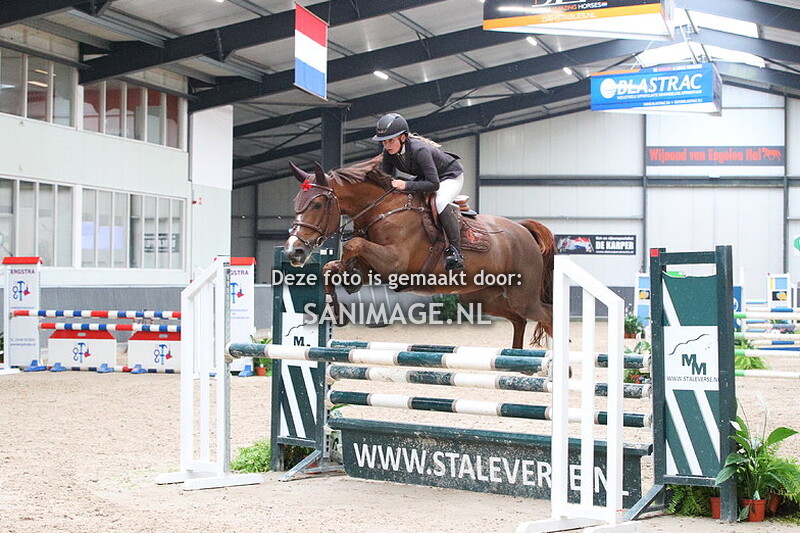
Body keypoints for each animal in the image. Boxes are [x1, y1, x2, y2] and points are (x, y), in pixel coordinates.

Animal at [285, 155, 555, 349]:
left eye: (317, 204)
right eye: (295, 203)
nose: (293, 251)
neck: (382, 209)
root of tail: (523, 230)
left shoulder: (395, 263)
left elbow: (354, 245)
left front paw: (348, 276)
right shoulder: (376, 267)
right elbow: (329, 267)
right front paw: (341, 301)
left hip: (523, 296)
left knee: (547, 315)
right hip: (481, 297)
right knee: (519, 320)